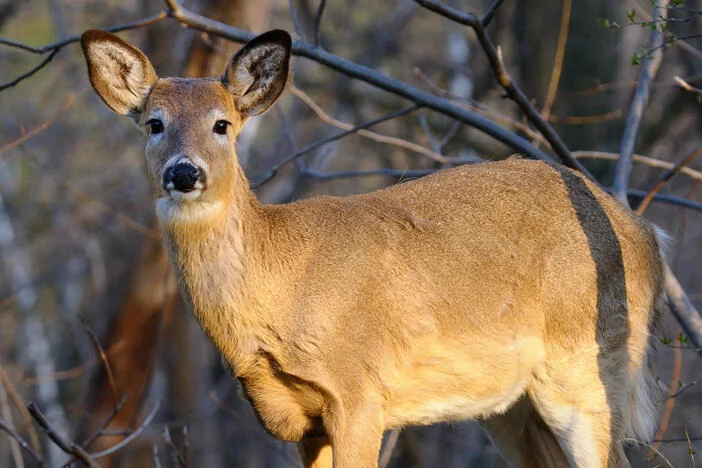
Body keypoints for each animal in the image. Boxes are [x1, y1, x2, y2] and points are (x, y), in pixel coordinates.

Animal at [81, 28, 667, 468]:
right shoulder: (303, 421)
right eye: (154, 124)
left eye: (222, 124)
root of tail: (645, 234)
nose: (184, 172)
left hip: (588, 362)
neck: (277, 283)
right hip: (510, 406)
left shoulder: (359, 393)